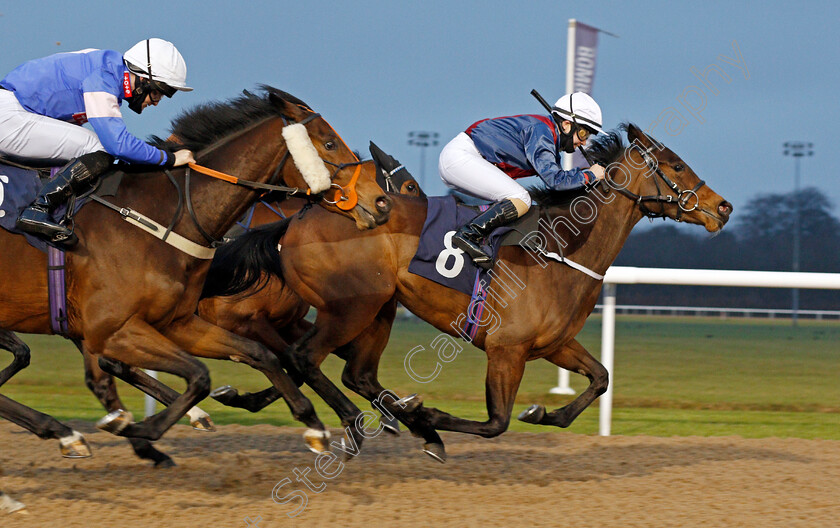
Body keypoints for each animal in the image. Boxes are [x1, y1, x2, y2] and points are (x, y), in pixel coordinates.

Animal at [0, 85, 392, 462]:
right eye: (329, 142)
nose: (381, 203)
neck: (159, 215)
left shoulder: (178, 323)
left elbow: (262, 356)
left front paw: (318, 424)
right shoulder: (119, 328)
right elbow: (207, 374)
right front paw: (143, 431)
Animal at [205, 122, 736, 458]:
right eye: (677, 166)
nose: (724, 207)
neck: (563, 248)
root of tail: (298, 217)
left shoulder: (553, 344)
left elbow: (600, 378)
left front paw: (544, 413)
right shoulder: (507, 349)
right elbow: (496, 423)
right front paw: (428, 415)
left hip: (380, 308)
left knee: (347, 370)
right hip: (351, 306)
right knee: (304, 357)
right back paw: (359, 426)